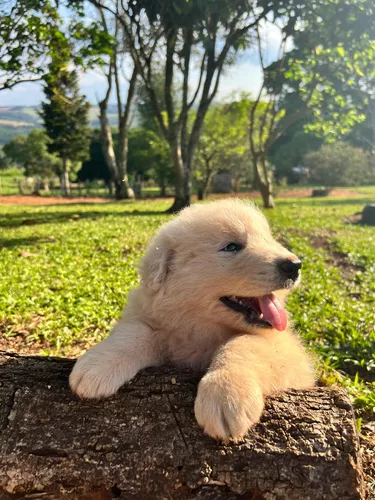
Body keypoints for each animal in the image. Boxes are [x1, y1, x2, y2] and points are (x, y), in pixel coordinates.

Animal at [70, 199, 314, 442]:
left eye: (268, 239)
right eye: (231, 247)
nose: (295, 265)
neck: (201, 328)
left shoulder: (289, 351)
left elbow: (244, 344)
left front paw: (226, 395)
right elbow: (136, 333)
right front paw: (97, 364)